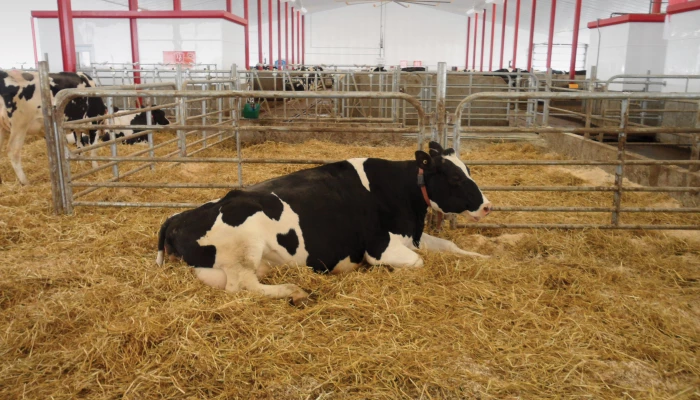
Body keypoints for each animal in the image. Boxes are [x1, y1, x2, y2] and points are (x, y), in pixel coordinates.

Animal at [156, 141, 492, 306]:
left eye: (468, 170)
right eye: (455, 177)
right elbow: (418, 262)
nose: (487, 206)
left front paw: (482, 256)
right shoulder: (379, 247)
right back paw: (295, 292)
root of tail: (177, 218)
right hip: (243, 248)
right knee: (243, 287)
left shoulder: (413, 235)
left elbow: (450, 245)